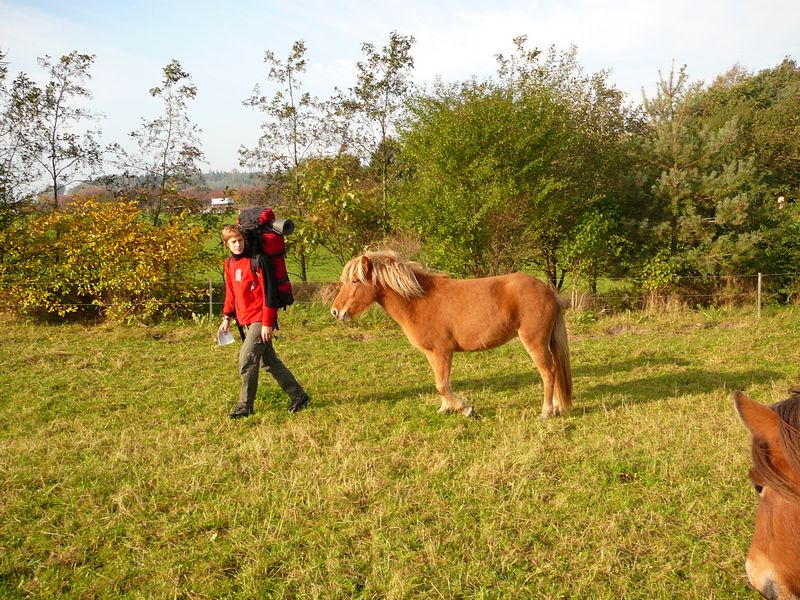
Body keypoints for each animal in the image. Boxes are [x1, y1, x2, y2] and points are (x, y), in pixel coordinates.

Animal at [328, 250, 572, 418]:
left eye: (355, 281)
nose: (335, 311)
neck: (418, 301)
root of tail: (549, 292)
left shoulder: (443, 350)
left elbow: (442, 385)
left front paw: (466, 409)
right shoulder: (431, 353)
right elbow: (440, 382)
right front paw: (446, 408)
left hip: (535, 342)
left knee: (548, 372)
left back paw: (546, 412)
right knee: (554, 370)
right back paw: (557, 407)